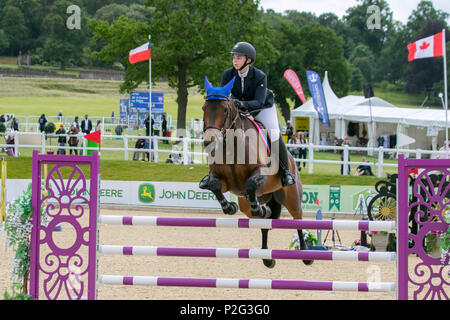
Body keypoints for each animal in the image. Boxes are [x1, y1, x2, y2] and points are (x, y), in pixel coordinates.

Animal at [200, 77, 312, 268]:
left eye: (225, 109)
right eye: (204, 108)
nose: (209, 141)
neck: (232, 145)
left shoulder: (261, 175)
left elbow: (251, 183)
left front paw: (254, 207)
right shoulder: (223, 181)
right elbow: (214, 185)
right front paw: (229, 207)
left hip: (291, 196)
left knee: (298, 219)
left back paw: (305, 254)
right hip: (251, 201)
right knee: (264, 220)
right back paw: (267, 257)